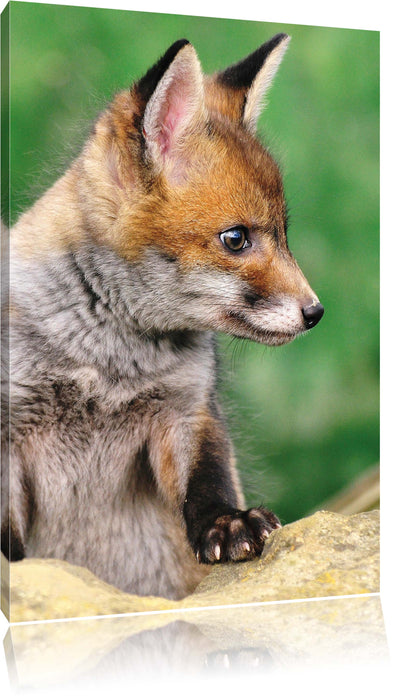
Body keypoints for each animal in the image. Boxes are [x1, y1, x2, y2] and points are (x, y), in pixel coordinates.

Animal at [1, 34, 324, 601]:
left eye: (284, 234)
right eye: (236, 239)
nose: (316, 312)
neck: (106, 365)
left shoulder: (187, 413)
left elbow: (208, 481)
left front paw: (228, 523)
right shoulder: (8, 433)